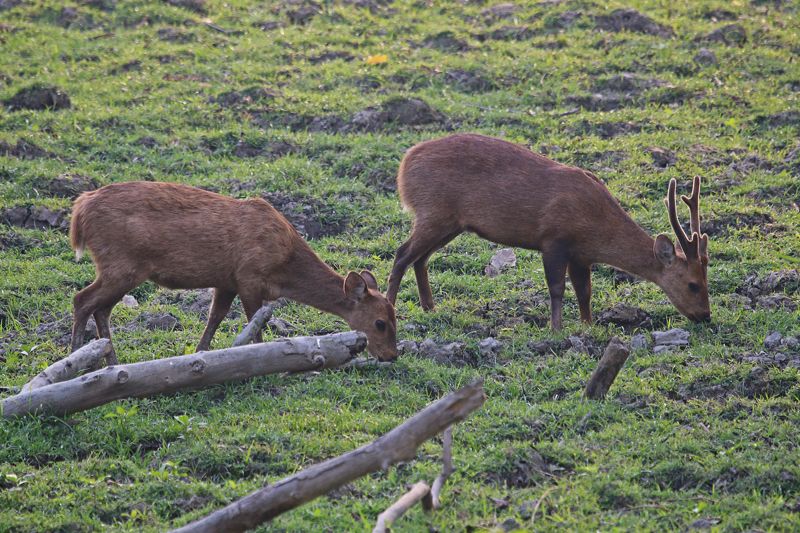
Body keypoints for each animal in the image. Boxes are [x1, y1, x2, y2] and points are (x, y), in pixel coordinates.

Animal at [69, 181, 398, 365]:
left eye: (396, 317)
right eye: (380, 323)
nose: (392, 356)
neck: (285, 267)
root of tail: (79, 210)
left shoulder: (226, 281)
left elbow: (214, 318)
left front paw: (199, 355)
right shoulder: (249, 276)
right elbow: (255, 327)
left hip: (120, 268)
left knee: (100, 308)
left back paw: (109, 361)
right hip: (121, 264)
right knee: (82, 300)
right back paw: (76, 358)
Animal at [386, 133, 710, 329]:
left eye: (707, 281)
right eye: (693, 284)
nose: (705, 316)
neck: (596, 227)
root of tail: (404, 165)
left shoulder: (581, 255)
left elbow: (584, 291)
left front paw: (588, 325)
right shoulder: (554, 238)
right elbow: (557, 287)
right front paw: (556, 329)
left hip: (449, 223)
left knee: (420, 259)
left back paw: (430, 308)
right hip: (433, 212)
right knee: (402, 254)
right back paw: (390, 307)